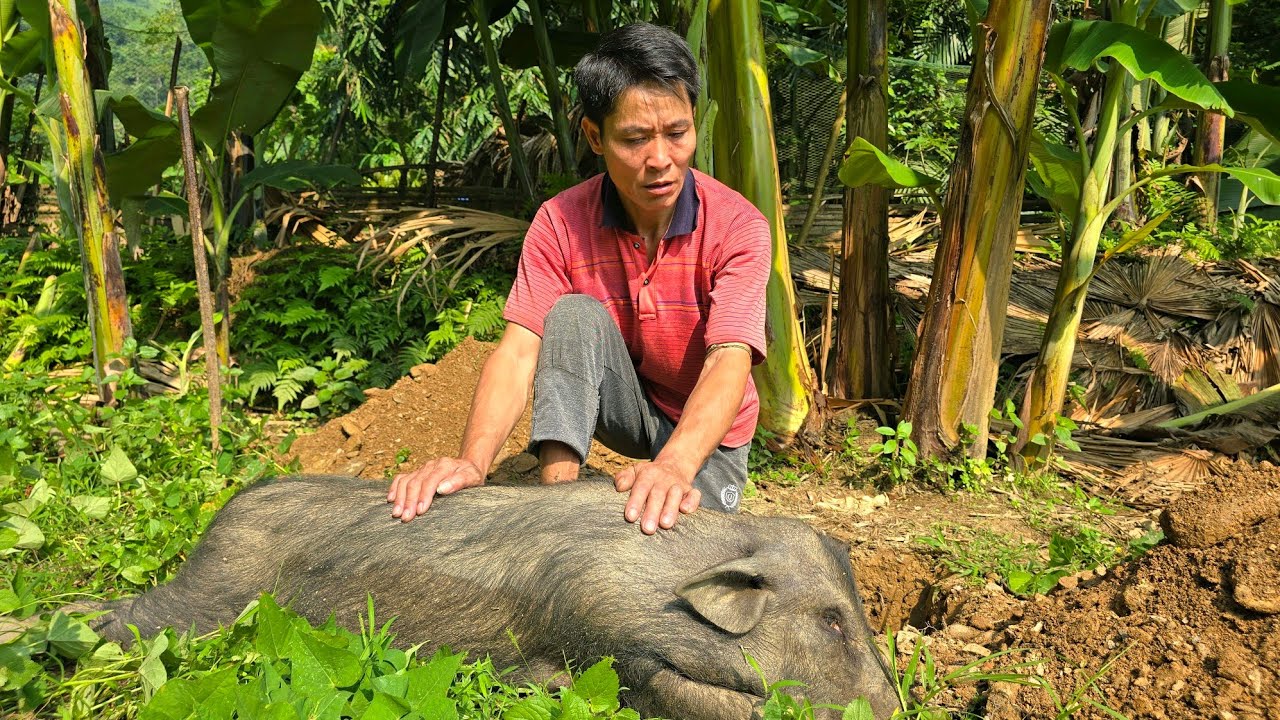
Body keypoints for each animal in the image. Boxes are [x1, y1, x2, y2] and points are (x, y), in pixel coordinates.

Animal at [94, 475, 899, 719]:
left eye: (860, 615)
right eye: (833, 622)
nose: (894, 707)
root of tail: (224, 514)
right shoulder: (609, 633)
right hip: (208, 599)